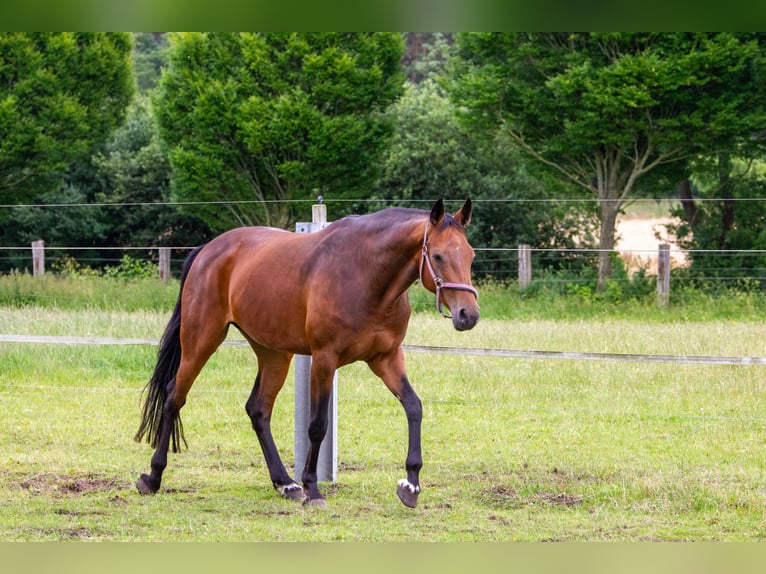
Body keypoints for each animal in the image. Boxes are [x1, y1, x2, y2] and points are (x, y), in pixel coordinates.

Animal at [134, 199, 476, 508]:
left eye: (471, 255)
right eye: (437, 256)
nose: (468, 315)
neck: (364, 272)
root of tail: (208, 250)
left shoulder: (387, 358)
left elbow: (413, 407)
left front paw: (411, 485)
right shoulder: (324, 359)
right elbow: (317, 425)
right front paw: (313, 488)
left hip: (274, 354)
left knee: (258, 410)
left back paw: (285, 483)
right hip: (201, 341)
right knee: (173, 397)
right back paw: (153, 477)